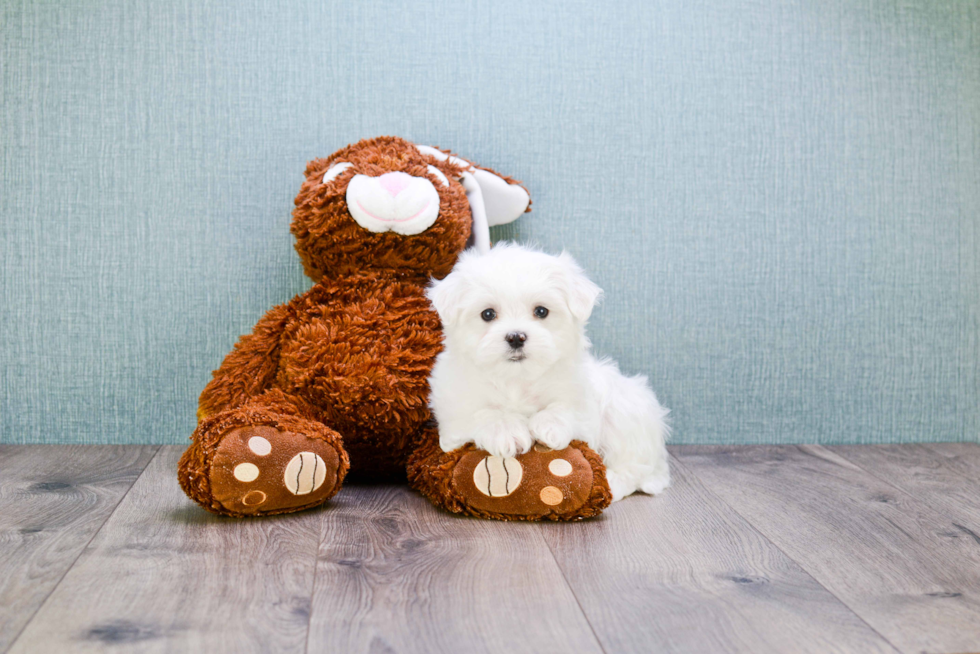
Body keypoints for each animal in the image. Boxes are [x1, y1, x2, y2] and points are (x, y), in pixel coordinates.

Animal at [428, 243, 672, 504]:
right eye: (488, 314)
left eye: (541, 311)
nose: (516, 337)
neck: (516, 378)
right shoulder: (455, 411)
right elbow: (482, 412)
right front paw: (506, 431)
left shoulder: (581, 399)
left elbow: (565, 407)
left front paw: (548, 426)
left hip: (628, 411)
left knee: (634, 465)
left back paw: (612, 483)